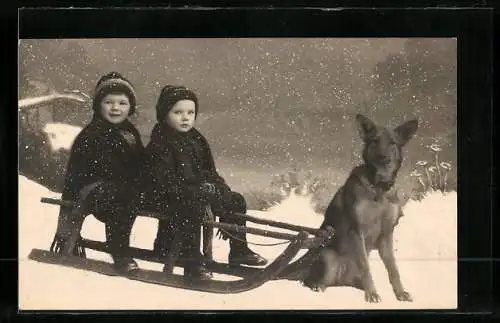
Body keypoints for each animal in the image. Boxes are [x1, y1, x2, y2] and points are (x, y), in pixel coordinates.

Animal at [302, 114, 420, 304]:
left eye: (392, 143)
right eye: (375, 141)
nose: (383, 157)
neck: (378, 187)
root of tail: (341, 280)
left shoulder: (386, 234)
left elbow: (393, 268)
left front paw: (400, 293)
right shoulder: (356, 231)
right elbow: (365, 266)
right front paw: (372, 294)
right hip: (327, 257)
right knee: (312, 282)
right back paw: (319, 289)